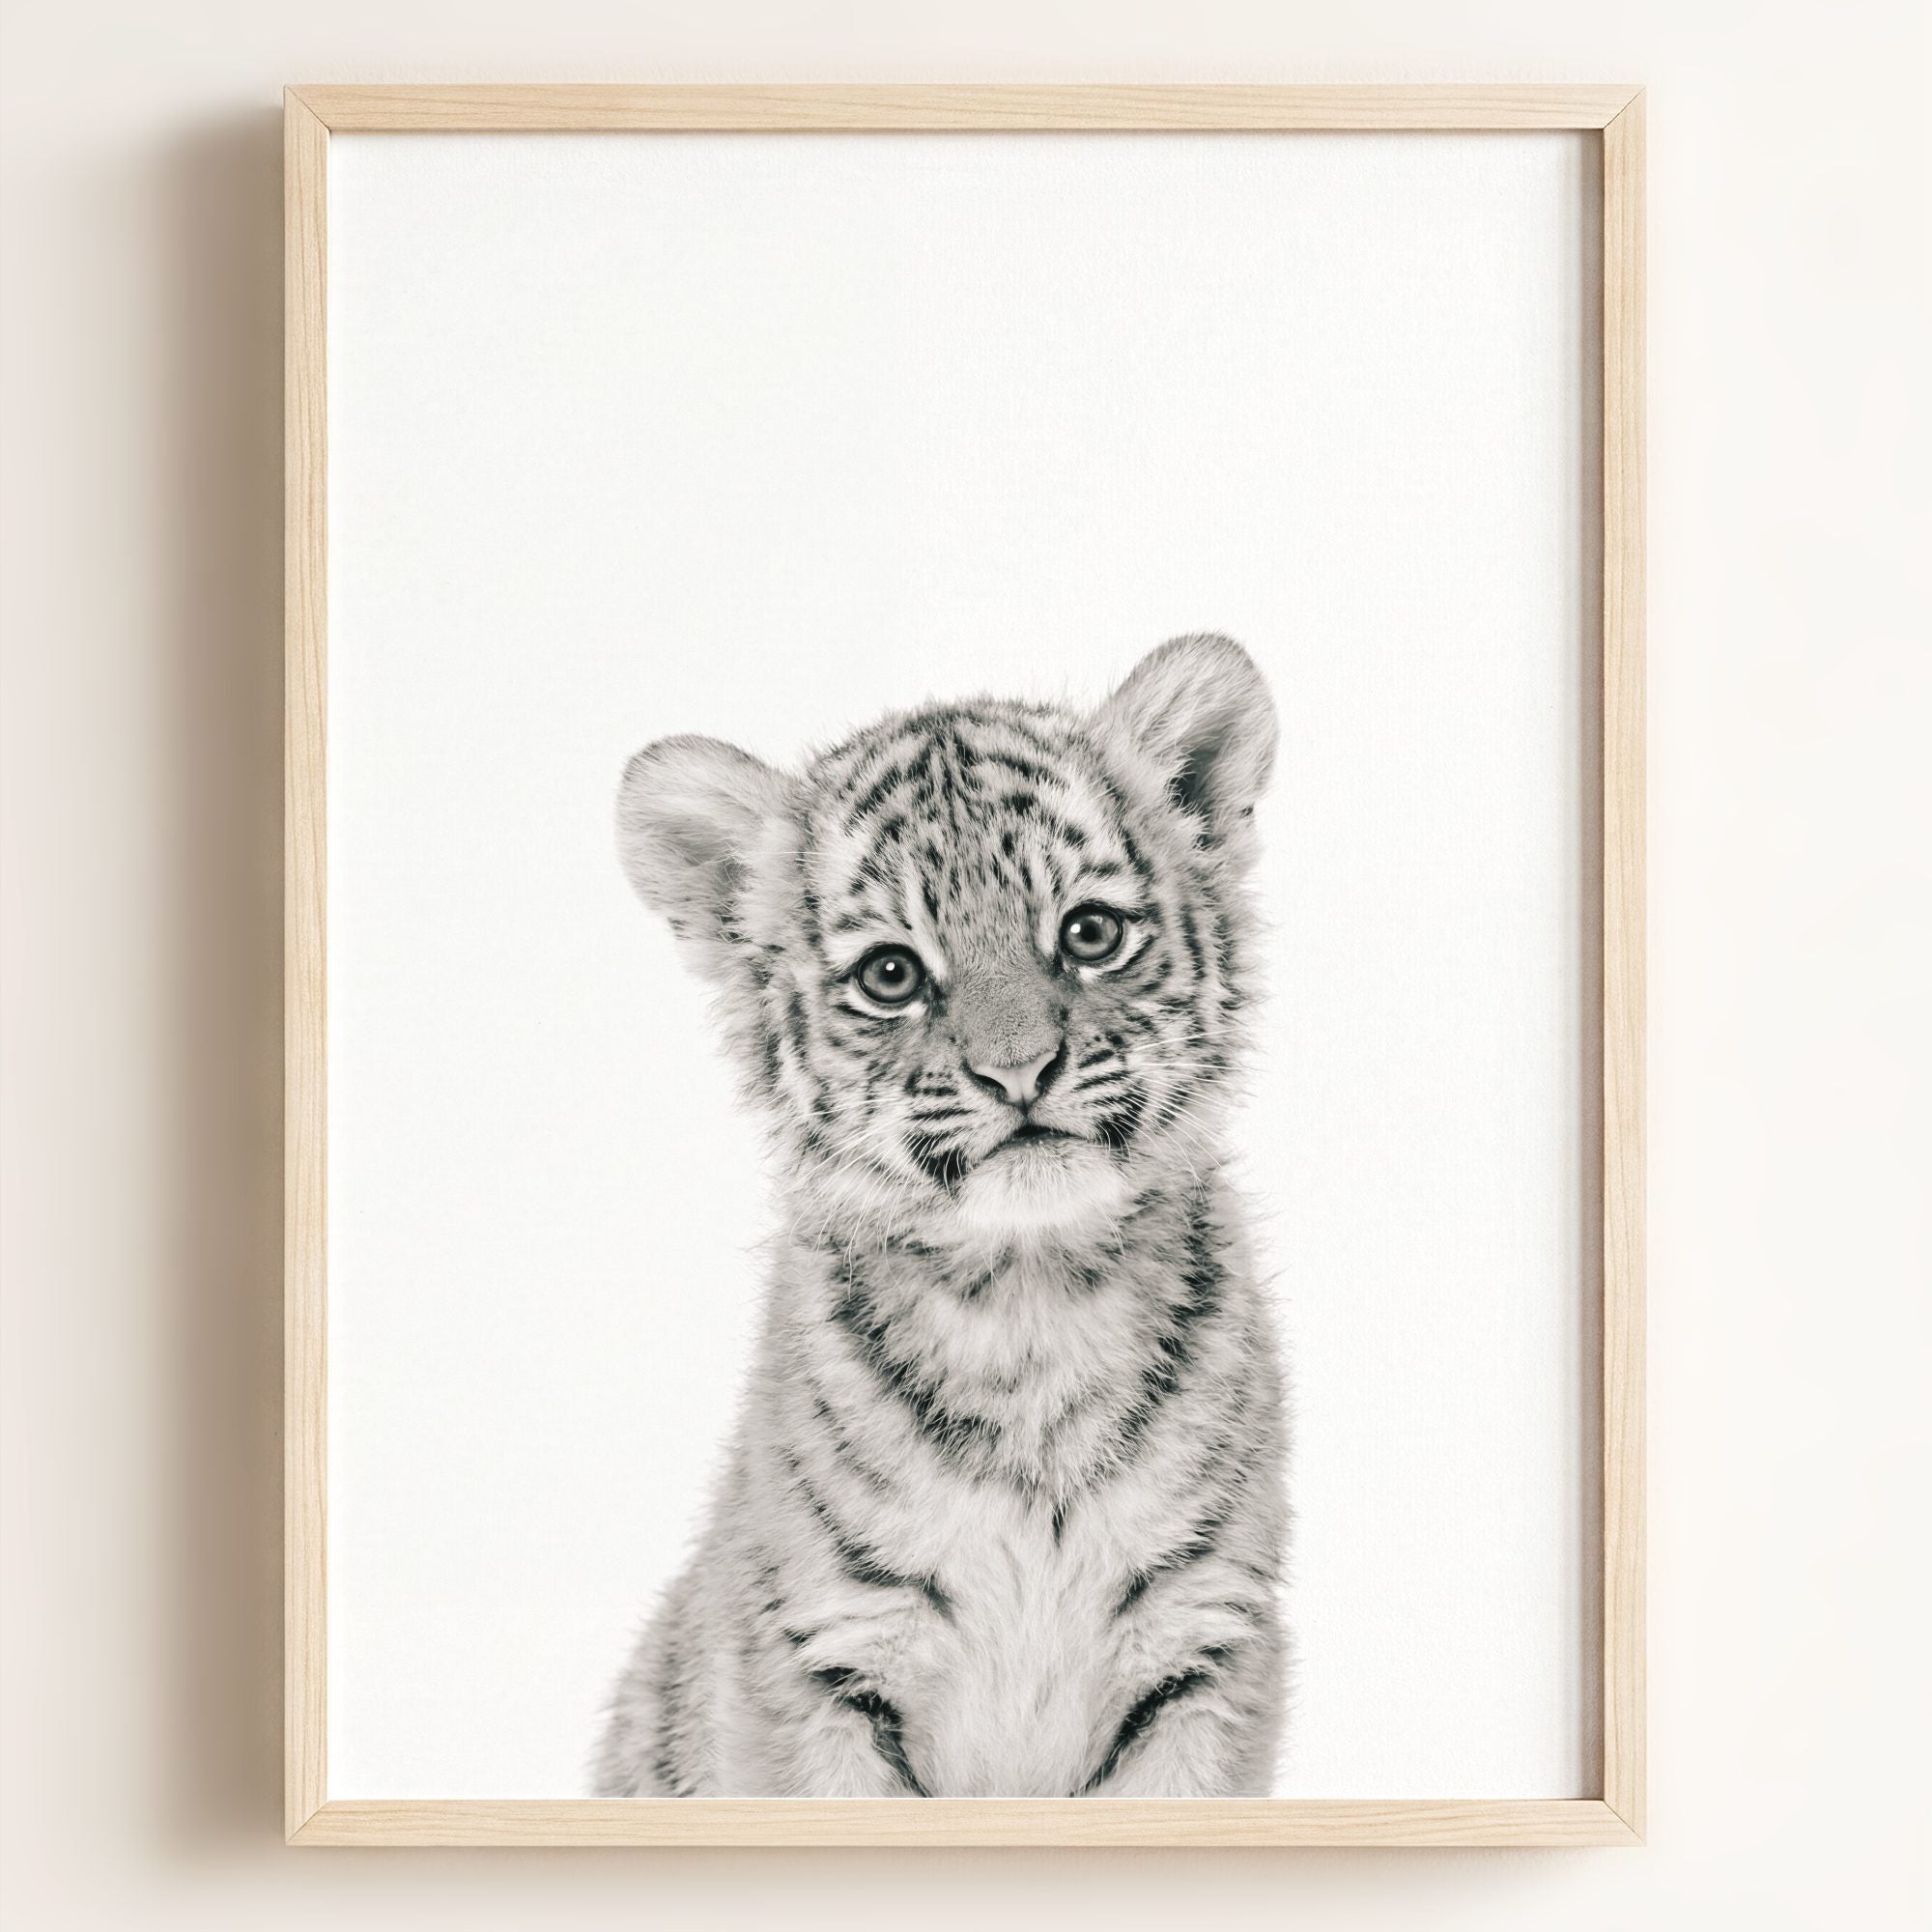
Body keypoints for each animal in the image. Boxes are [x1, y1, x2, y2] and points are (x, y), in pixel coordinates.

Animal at [592, 633, 1288, 1799]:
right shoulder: (820, 1660)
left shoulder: (1203, 1647)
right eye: (891, 974)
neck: (1030, 1305)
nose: (1019, 1072)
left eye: (1089, 932)